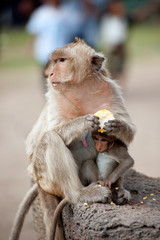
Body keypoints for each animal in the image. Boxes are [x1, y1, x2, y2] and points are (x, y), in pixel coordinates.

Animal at [25, 38, 136, 239]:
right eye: (55, 61)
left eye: (62, 60)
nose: (50, 73)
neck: (80, 88)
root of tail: (39, 183)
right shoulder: (54, 95)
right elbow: (43, 137)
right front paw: (84, 121)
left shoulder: (111, 90)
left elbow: (128, 132)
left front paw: (118, 126)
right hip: (45, 177)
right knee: (49, 138)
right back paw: (80, 194)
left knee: (120, 143)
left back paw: (118, 190)